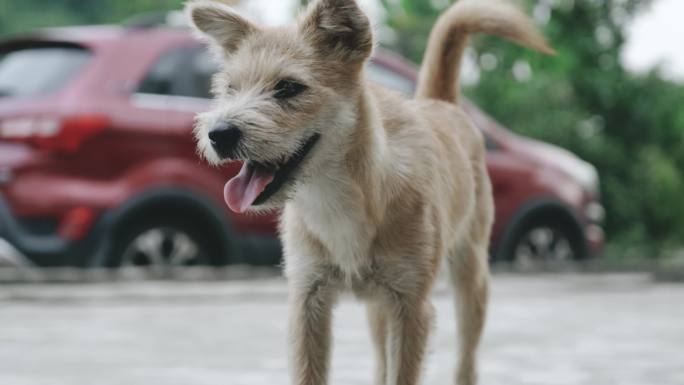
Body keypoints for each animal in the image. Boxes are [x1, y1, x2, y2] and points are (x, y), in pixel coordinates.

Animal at [186, 0, 552, 384]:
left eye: (288, 88)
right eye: (229, 88)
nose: (219, 134)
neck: (341, 197)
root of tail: (440, 103)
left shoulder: (411, 308)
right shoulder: (307, 303)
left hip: (471, 282)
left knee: (466, 360)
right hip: (379, 310)